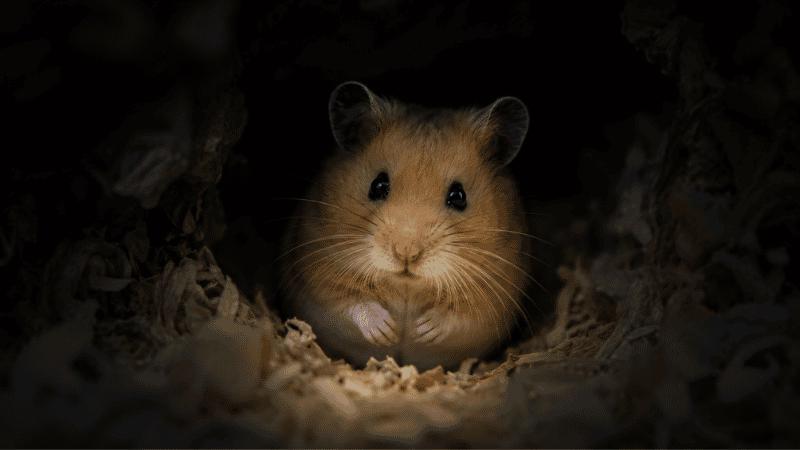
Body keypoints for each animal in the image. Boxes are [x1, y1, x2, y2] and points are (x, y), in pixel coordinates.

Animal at [280, 82, 532, 369]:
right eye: (378, 185)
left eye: (459, 196)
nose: (406, 253)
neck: (407, 285)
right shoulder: (317, 269)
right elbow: (350, 303)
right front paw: (388, 332)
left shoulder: (494, 292)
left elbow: (461, 315)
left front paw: (421, 330)